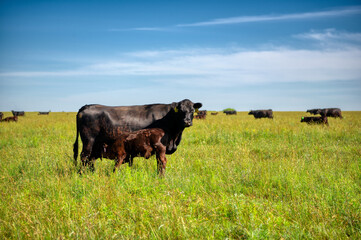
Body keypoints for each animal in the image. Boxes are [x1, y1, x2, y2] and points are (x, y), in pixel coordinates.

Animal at [73, 98, 202, 170]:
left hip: (96, 144)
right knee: (84, 157)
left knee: (91, 159)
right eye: (180, 111)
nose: (187, 121)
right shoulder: (160, 146)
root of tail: (86, 106)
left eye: (192, 111)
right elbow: (160, 163)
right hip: (88, 141)